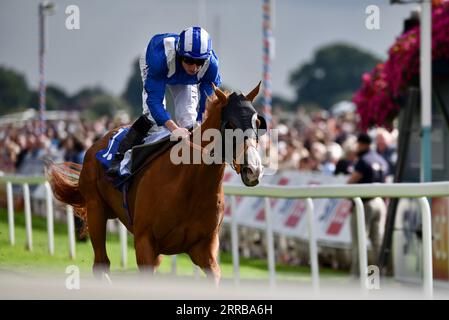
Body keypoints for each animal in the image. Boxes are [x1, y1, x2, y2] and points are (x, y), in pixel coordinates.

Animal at [46, 83, 262, 284]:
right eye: (230, 123)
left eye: (258, 122)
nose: (253, 169)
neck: (189, 187)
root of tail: (97, 143)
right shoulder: (145, 243)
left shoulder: (204, 249)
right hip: (95, 208)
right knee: (101, 263)